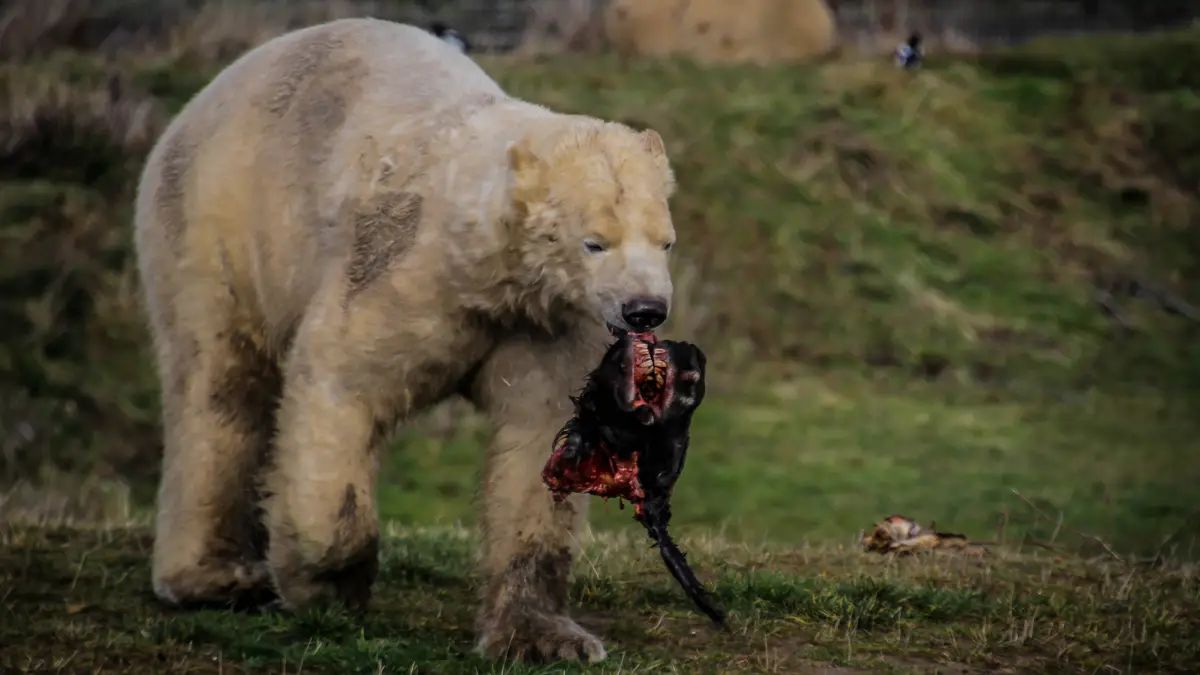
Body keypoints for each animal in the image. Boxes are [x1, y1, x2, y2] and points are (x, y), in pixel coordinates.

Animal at [132, 17, 680, 665]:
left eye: (665, 241)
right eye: (595, 242)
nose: (645, 309)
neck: (485, 269)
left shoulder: (547, 323)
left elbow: (541, 441)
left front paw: (541, 637)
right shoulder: (399, 274)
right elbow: (341, 386)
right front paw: (328, 586)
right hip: (217, 224)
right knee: (218, 385)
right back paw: (214, 577)